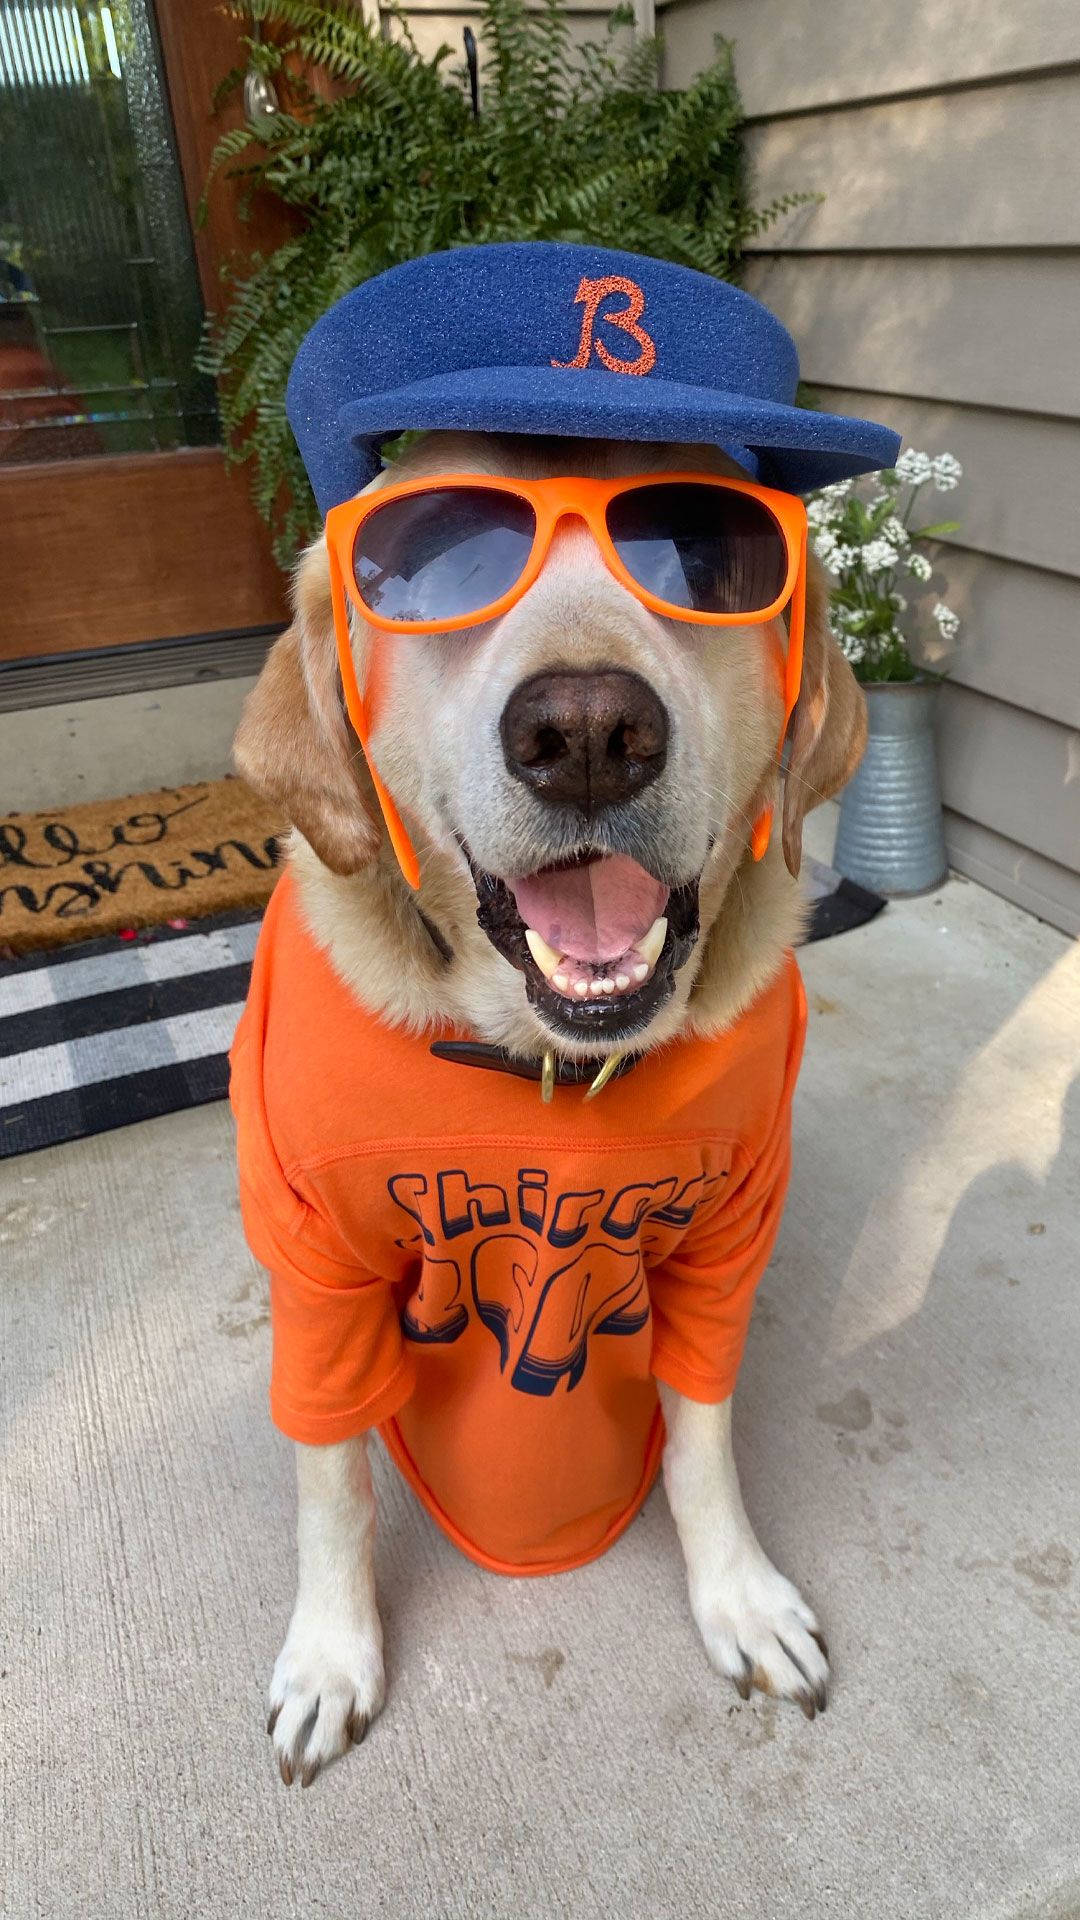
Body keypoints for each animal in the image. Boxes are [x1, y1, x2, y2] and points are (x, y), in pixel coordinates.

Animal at [231, 424, 860, 1781]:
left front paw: (737, 1593)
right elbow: (330, 1477)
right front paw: (331, 1653)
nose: (586, 732)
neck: (546, 1066)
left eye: (708, 556)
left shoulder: (726, 1243)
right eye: (432, 566)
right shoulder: (315, 1262)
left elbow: (701, 1431)